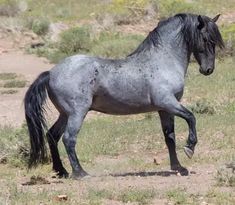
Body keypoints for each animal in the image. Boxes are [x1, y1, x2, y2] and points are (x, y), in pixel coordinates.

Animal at [23, 13, 224, 179]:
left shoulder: (164, 110)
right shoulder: (168, 103)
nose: (208, 69)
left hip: (64, 114)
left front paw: (178, 167)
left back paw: (62, 171)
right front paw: (190, 148)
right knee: (68, 138)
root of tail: (51, 73)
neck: (162, 60)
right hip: (77, 113)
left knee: (52, 136)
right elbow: (191, 117)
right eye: (206, 39)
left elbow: (170, 138)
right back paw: (80, 173)